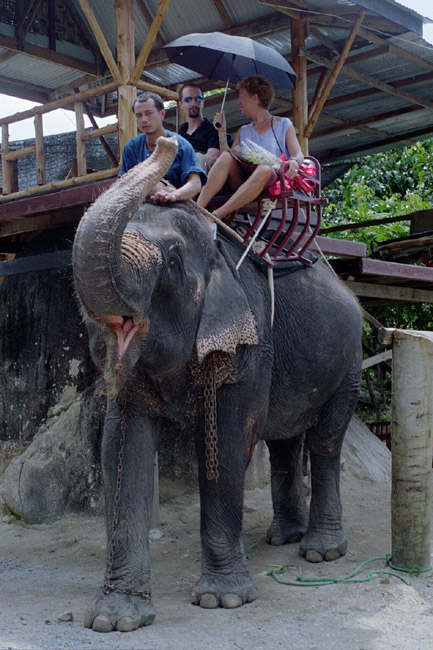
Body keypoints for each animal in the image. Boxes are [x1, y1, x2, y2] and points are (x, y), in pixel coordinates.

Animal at [72, 136, 362, 633]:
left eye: (171, 263)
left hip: (349, 361)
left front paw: (221, 600)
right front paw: (115, 618)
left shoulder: (251, 343)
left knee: (325, 440)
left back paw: (319, 552)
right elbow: (119, 450)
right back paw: (283, 537)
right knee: (284, 440)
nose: (166, 140)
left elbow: (226, 444)